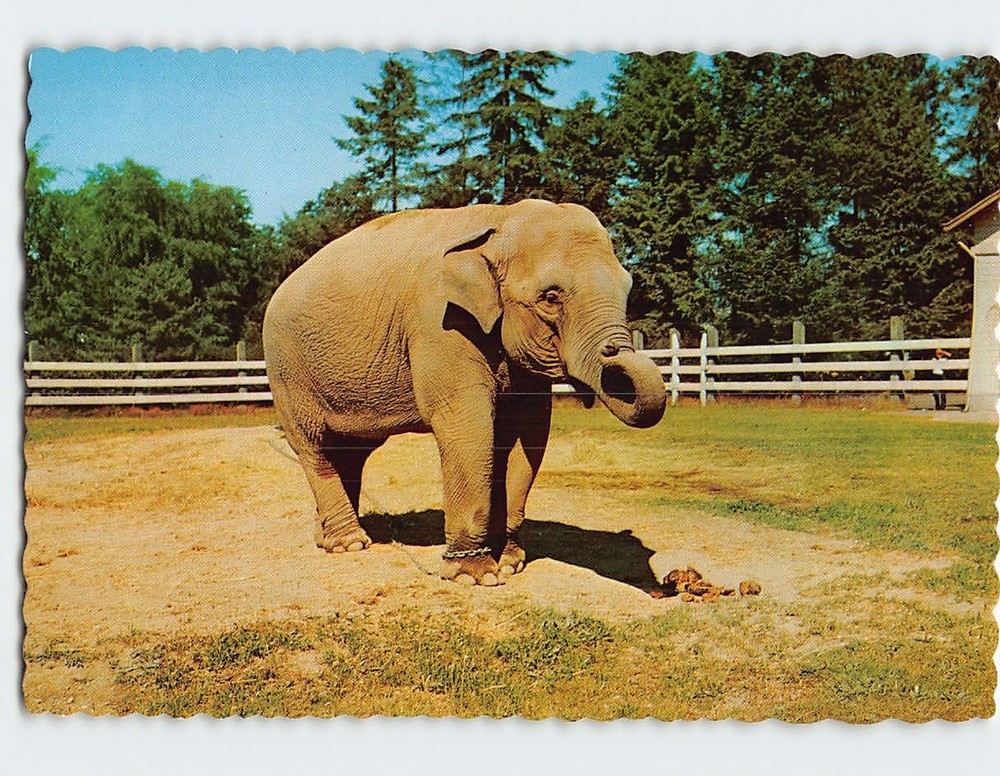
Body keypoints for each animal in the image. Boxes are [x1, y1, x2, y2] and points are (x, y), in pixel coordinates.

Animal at [262, 199, 666, 586]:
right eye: (550, 298)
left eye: (627, 289)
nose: (614, 351)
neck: (498, 220)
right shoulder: (439, 323)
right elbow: (467, 426)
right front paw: (477, 575)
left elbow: (528, 435)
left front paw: (510, 562)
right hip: (288, 371)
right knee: (314, 446)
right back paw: (349, 544)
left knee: (350, 452)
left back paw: (329, 537)